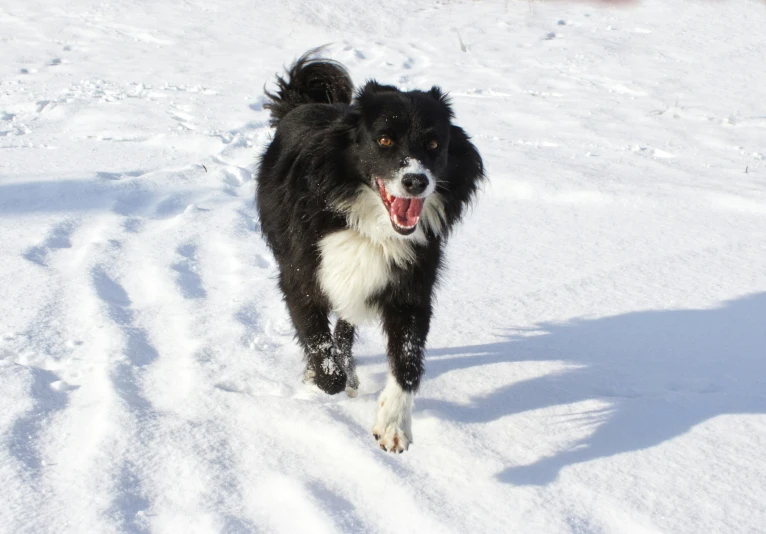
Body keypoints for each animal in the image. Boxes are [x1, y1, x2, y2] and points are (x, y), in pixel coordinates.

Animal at [258, 50, 486, 454]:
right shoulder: (301, 277)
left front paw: (393, 425)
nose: (416, 181)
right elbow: (319, 347)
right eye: (384, 140)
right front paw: (325, 376)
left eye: (434, 145)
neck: (369, 224)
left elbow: (407, 361)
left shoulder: (411, 286)